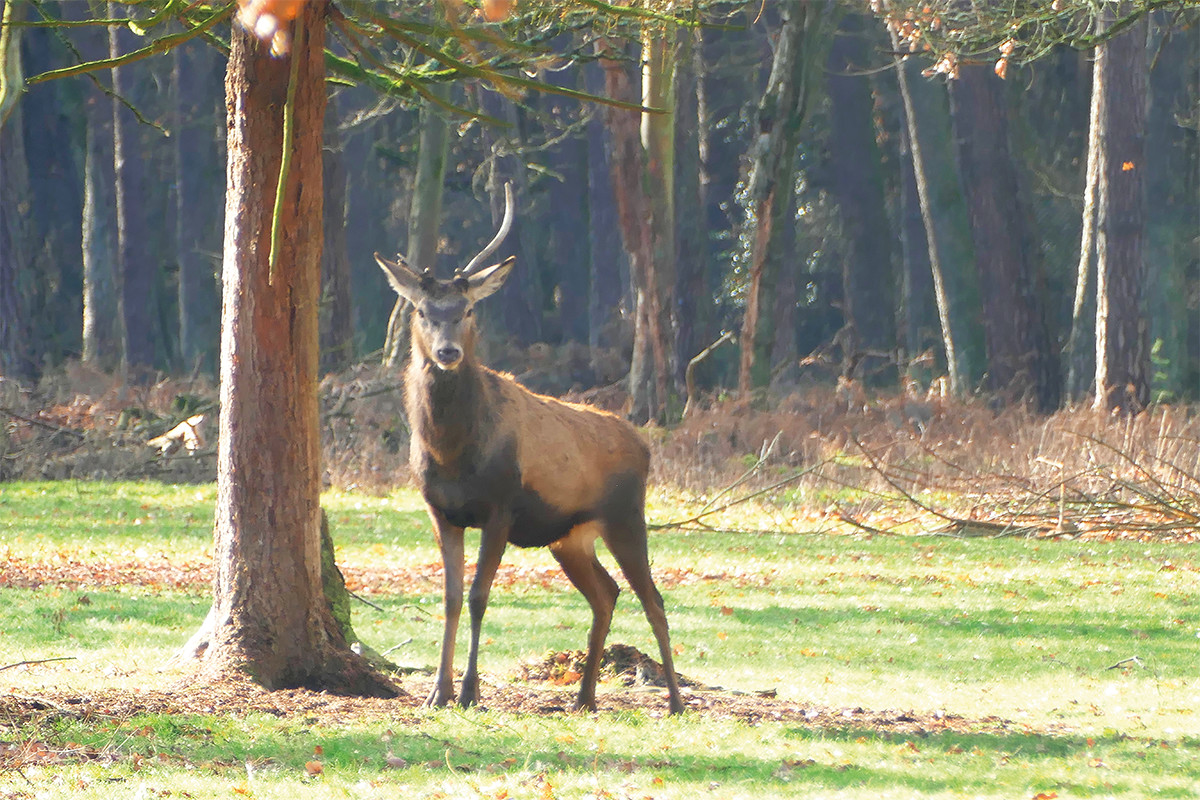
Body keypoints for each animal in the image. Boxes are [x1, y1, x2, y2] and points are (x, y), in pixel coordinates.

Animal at [374, 187, 685, 715]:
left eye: (468, 310)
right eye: (422, 311)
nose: (448, 352)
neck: (453, 453)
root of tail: (644, 444)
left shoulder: (500, 507)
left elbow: (478, 596)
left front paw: (469, 692)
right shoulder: (441, 511)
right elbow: (450, 598)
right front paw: (437, 692)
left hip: (626, 515)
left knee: (653, 598)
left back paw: (676, 702)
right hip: (569, 537)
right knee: (607, 593)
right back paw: (584, 697)